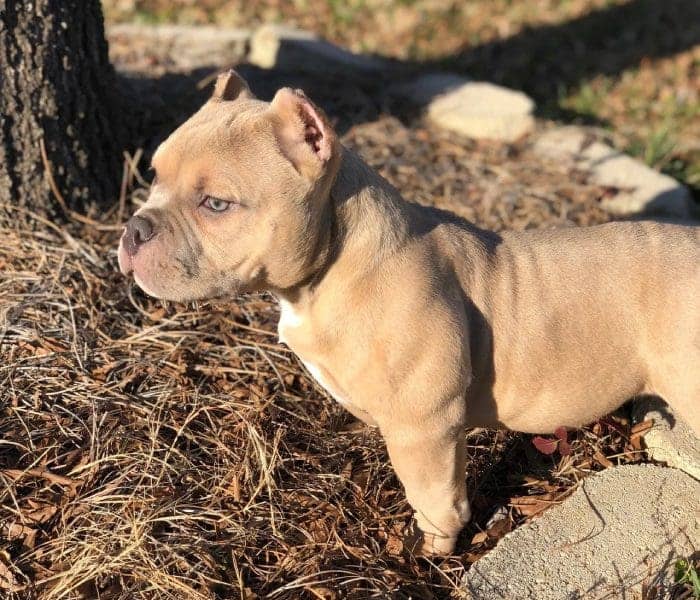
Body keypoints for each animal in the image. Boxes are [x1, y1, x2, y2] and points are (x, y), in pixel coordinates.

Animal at [117, 71, 696, 556]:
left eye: (216, 204)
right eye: (153, 175)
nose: (134, 228)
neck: (332, 264)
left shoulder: (425, 429)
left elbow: (437, 500)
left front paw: (432, 553)